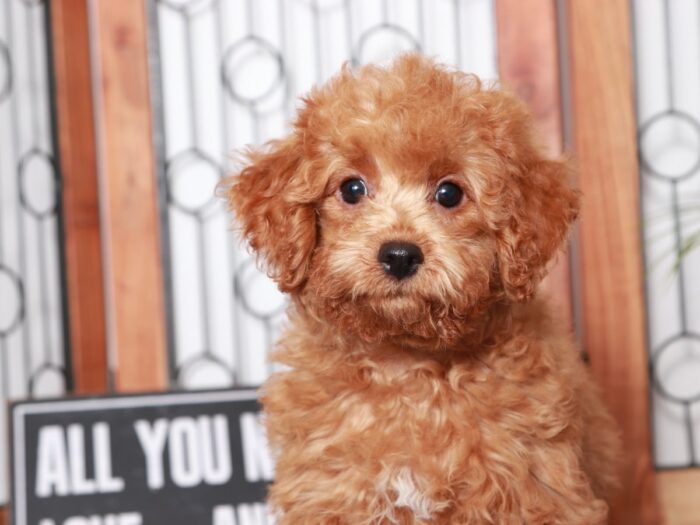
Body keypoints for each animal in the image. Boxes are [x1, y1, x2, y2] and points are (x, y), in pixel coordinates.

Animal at [227, 54, 620, 524]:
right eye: (352, 188)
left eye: (449, 193)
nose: (399, 255)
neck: (408, 368)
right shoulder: (331, 492)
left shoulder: (534, 491)